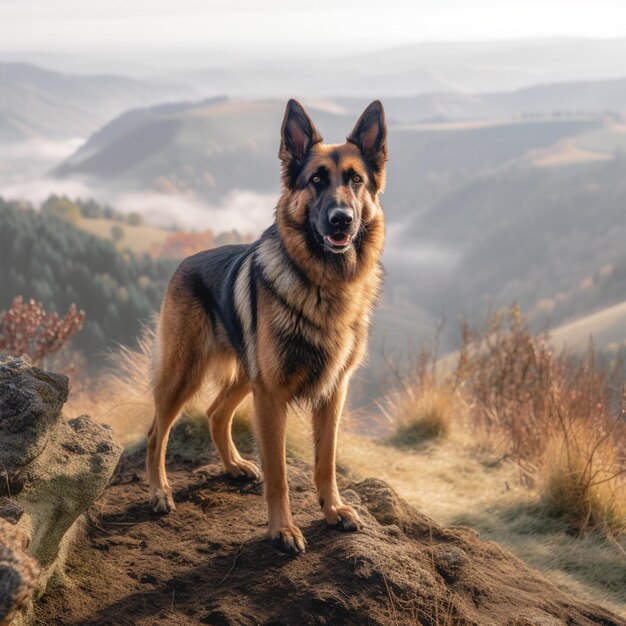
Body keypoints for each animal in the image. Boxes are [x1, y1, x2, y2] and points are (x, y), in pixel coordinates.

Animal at [146, 100, 386, 552]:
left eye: (356, 180)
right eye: (316, 180)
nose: (341, 220)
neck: (324, 285)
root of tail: (186, 261)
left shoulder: (333, 392)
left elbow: (326, 461)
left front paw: (332, 510)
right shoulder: (272, 395)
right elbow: (279, 474)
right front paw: (283, 529)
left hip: (245, 373)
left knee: (215, 413)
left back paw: (235, 465)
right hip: (187, 372)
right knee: (157, 431)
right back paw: (159, 491)